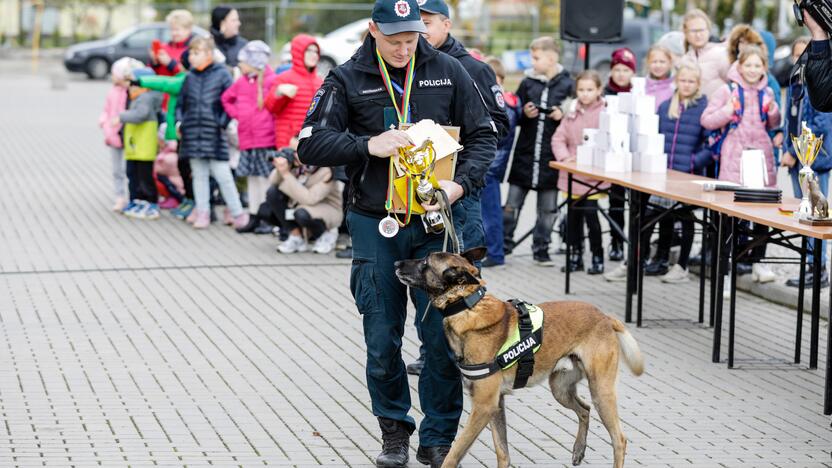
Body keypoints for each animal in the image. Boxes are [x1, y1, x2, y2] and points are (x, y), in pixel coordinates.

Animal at [394, 247, 644, 466]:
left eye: (425, 262)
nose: (396, 263)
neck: (467, 306)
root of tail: (604, 316)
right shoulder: (496, 405)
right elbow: (502, 452)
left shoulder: (484, 406)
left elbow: (454, 453)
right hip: (560, 388)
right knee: (584, 410)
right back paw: (578, 450)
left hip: (601, 391)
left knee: (619, 439)